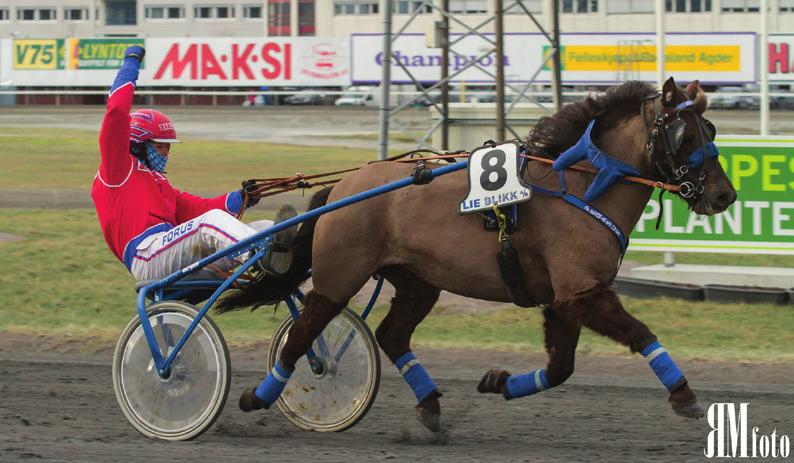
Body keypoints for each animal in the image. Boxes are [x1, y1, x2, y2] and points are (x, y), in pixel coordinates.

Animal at [218, 78, 736, 434]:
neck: (582, 185)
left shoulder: (564, 299)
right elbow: (642, 334)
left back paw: (430, 406)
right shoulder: (583, 292)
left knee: (391, 334)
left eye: (708, 128)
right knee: (303, 334)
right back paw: (258, 395)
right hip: (339, 276)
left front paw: (499, 382)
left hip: (418, 281)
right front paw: (684, 394)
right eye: (684, 136)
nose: (724, 195)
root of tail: (345, 186)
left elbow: (561, 367)